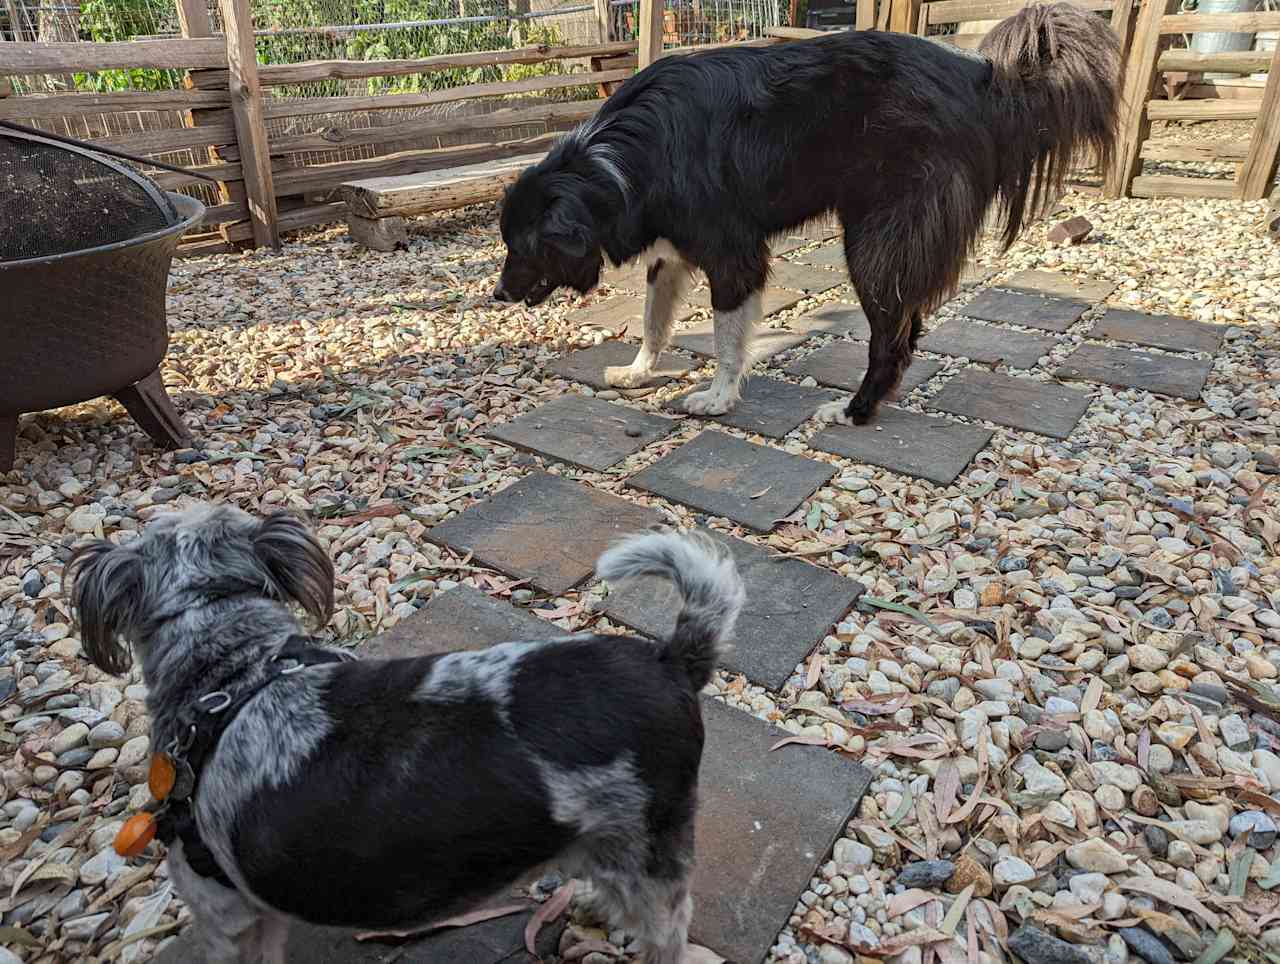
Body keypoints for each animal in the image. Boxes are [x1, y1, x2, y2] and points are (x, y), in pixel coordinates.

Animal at [494, 4, 1116, 419]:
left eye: (523, 248)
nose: (497, 295)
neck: (614, 167)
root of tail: (984, 78)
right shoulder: (669, 255)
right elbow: (653, 320)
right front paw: (639, 371)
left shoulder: (734, 257)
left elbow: (726, 338)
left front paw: (718, 397)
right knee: (909, 327)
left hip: (874, 243)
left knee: (891, 337)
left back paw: (855, 411)